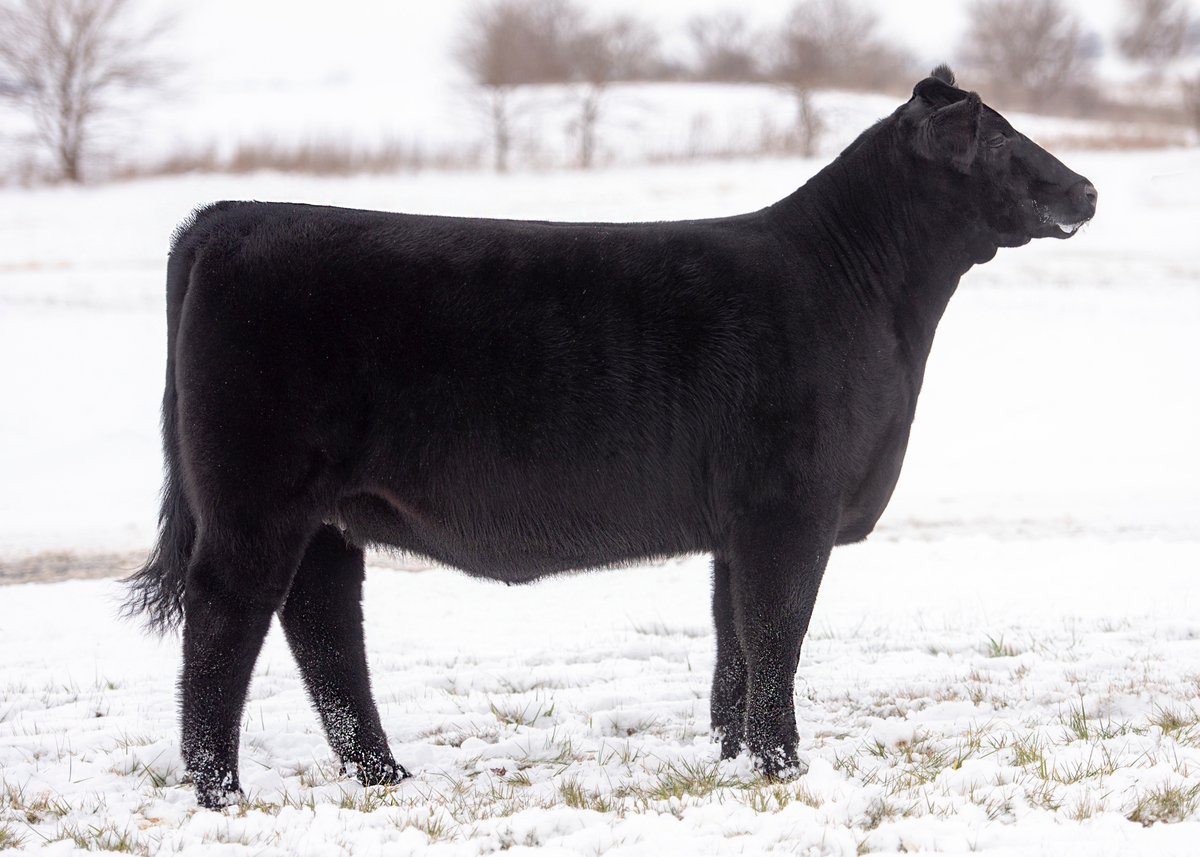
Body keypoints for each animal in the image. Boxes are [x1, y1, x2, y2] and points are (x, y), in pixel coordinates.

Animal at [124, 66, 1097, 809]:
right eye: (1001, 141)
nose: (1086, 189)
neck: (870, 298)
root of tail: (229, 215)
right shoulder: (791, 510)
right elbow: (777, 637)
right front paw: (784, 768)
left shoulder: (738, 525)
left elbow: (735, 646)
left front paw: (732, 759)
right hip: (255, 498)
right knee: (224, 624)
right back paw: (223, 792)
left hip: (326, 513)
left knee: (323, 626)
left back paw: (386, 775)